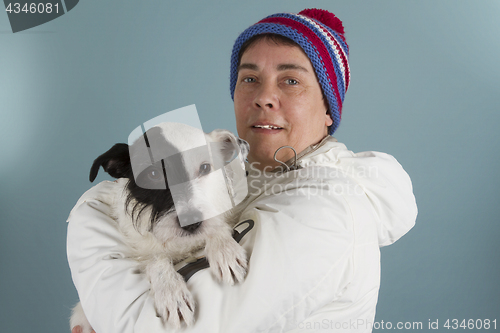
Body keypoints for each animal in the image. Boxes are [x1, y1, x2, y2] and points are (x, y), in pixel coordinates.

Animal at [70, 123, 250, 330]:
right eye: (154, 174)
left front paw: (224, 249)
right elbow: (155, 260)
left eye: (205, 168)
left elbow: (216, 227)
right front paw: (171, 292)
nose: (191, 221)